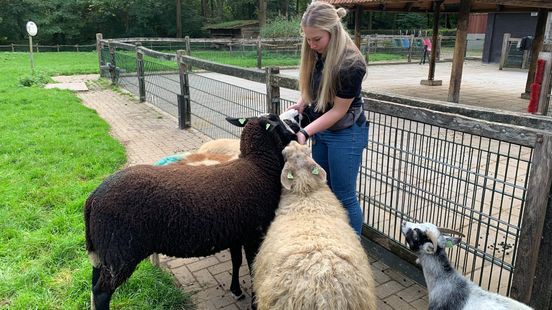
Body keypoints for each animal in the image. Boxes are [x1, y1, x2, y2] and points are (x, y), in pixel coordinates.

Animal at [84, 114, 296, 310]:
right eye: (278, 121)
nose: (295, 134)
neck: (257, 166)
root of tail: (93, 197)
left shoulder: (237, 232)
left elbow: (236, 261)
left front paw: (235, 290)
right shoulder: (253, 232)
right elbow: (252, 269)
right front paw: (252, 302)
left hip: (103, 252)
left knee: (94, 285)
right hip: (120, 251)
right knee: (102, 292)